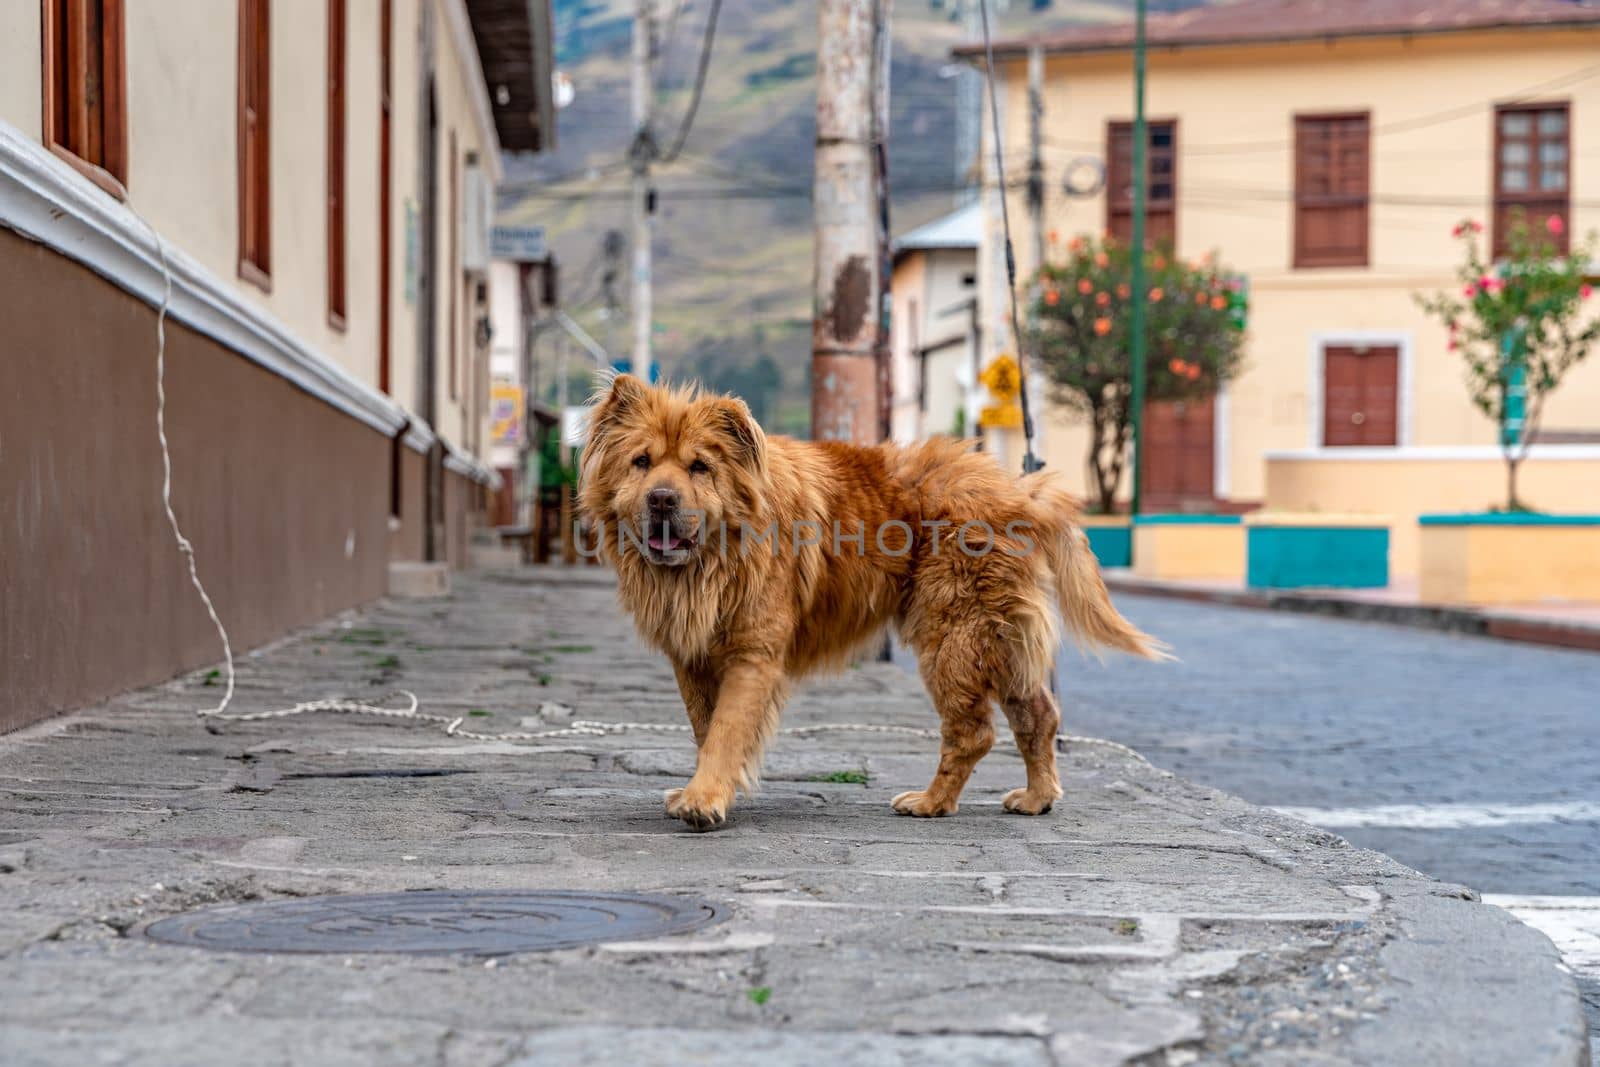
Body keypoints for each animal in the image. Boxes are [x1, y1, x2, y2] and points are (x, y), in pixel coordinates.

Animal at [576, 375, 1164, 831]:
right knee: (1038, 715)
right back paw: (1036, 799)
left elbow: (726, 731)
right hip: (1000, 641)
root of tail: (1020, 492)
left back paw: (931, 804)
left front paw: (705, 801)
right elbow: (705, 730)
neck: (713, 561)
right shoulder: (693, 657)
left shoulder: (752, 656)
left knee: (973, 731)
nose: (662, 499)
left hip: (951, 635)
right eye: (642, 462)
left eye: (699, 467)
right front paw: (703, 790)